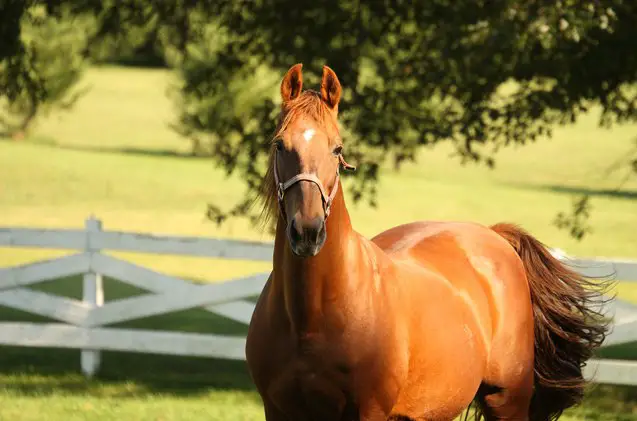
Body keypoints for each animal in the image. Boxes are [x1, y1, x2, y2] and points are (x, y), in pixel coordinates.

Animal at [245, 63, 612, 420]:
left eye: (337, 149)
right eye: (279, 145)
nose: (307, 231)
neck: (311, 318)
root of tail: (494, 234)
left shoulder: (369, 412)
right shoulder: (277, 410)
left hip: (507, 401)